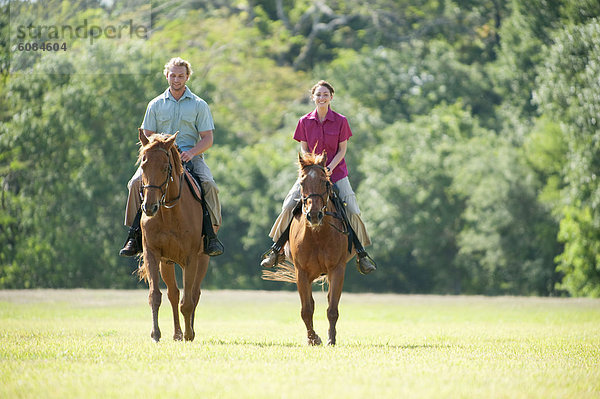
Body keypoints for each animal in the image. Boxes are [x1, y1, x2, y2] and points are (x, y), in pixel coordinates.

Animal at [137, 130, 210, 342]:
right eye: (143, 165)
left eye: (165, 167)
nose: (149, 207)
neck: (169, 212)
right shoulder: (152, 254)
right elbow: (155, 295)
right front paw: (155, 334)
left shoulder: (191, 258)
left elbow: (188, 301)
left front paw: (189, 334)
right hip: (167, 263)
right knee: (173, 294)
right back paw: (177, 333)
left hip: (203, 260)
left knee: (194, 294)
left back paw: (188, 331)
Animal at [262, 153, 352, 346]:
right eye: (302, 183)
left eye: (325, 182)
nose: (314, 214)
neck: (317, 235)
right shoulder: (301, 272)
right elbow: (306, 310)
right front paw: (313, 338)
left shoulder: (337, 269)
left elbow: (332, 309)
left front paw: (331, 339)